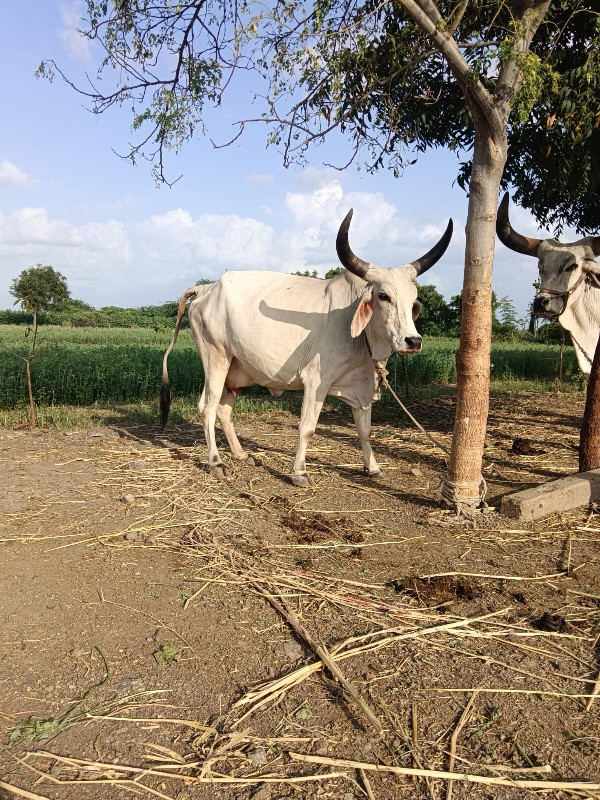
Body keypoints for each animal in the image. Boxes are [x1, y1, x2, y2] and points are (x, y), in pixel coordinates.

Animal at [162, 209, 452, 484]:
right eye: (383, 296)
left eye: (413, 299)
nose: (413, 341)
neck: (360, 339)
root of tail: (206, 288)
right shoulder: (316, 381)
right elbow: (307, 427)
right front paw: (299, 472)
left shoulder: (361, 386)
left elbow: (365, 430)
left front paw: (373, 468)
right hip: (216, 360)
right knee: (207, 408)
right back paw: (216, 462)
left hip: (236, 369)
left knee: (223, 409)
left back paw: (241, 454)